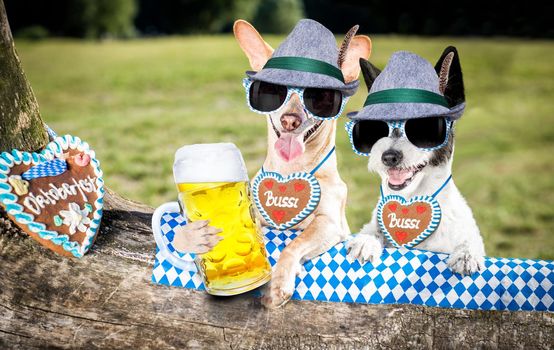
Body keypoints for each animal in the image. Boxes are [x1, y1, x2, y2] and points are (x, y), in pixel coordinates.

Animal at [231, 20, 368, 308]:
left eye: (320, 97)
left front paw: (278, 285)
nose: (290, 120)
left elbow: (293, 243)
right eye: (272, 90)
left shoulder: (328, 223)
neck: (289, 171)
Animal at [344, 47, 484, 274]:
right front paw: (367, 240)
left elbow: (468, 240)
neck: (412, 199)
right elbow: (373, 229)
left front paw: (466, 254)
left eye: (423, 126)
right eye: (374, 127)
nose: (389, 156)